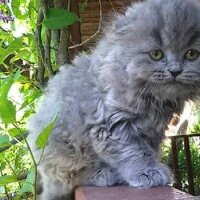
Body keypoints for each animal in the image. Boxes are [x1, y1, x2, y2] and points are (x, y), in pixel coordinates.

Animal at [27, 0, 200, 198]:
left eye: (191, 54)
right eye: (156, 54)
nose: (175, 71)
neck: (155, 100)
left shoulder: (153, 132)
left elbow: (147, 150)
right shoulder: (110, 122)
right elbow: (133, 152)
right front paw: (147, 172)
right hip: (63, 147)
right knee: (72, 177)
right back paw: (105, 174)